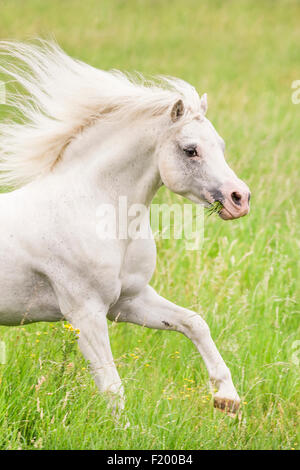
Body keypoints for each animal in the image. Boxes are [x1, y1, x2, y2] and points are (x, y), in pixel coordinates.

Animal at [0, 41, 251, 414]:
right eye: (190, 150)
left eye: (220, 145)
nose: (240, 199)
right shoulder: (85, 313)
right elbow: (112, 388)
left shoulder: (128, 301)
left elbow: (194, 322)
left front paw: (227, 399)